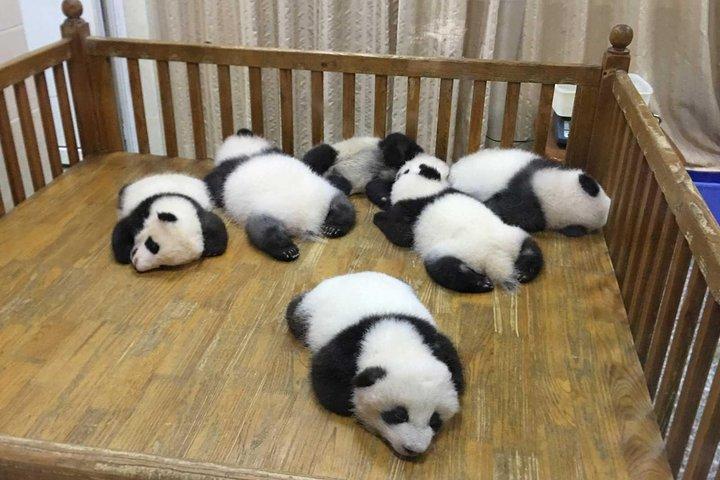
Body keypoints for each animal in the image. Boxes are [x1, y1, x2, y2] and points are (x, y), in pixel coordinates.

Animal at [286, 271, 463, 458]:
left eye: (434, 420)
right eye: (398, 415)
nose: (413, 449)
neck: (397, 341)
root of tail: (353, 275)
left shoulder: (429, 336)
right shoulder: (349, 346)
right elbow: (326, 381)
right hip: (309, 310)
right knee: (295, 313)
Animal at [373, 157, 544, 293]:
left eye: (404, 170)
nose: (402, 168)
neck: (423, 189)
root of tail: (495, 257)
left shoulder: (407, 210)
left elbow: (401, 235)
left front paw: (379, 217)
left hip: (455, 250)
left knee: (445, 269)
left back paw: (481, 283)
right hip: (511, 235)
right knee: (530, 248)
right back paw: (523, 272)